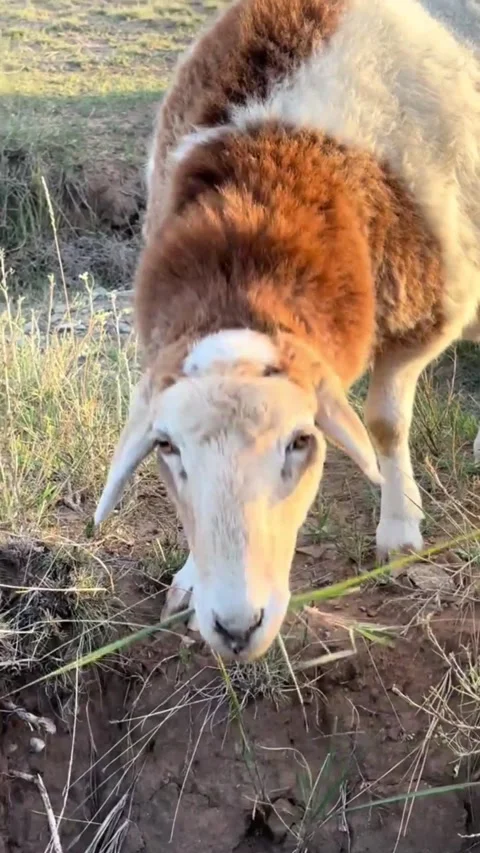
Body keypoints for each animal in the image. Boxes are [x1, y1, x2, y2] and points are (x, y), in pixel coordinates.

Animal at [95, 0, 480, 661]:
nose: (235, 627)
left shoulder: (429, 312)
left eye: (302, 441)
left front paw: (400, 529)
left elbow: (385, 422)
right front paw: (190, 579)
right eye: (167, 447)